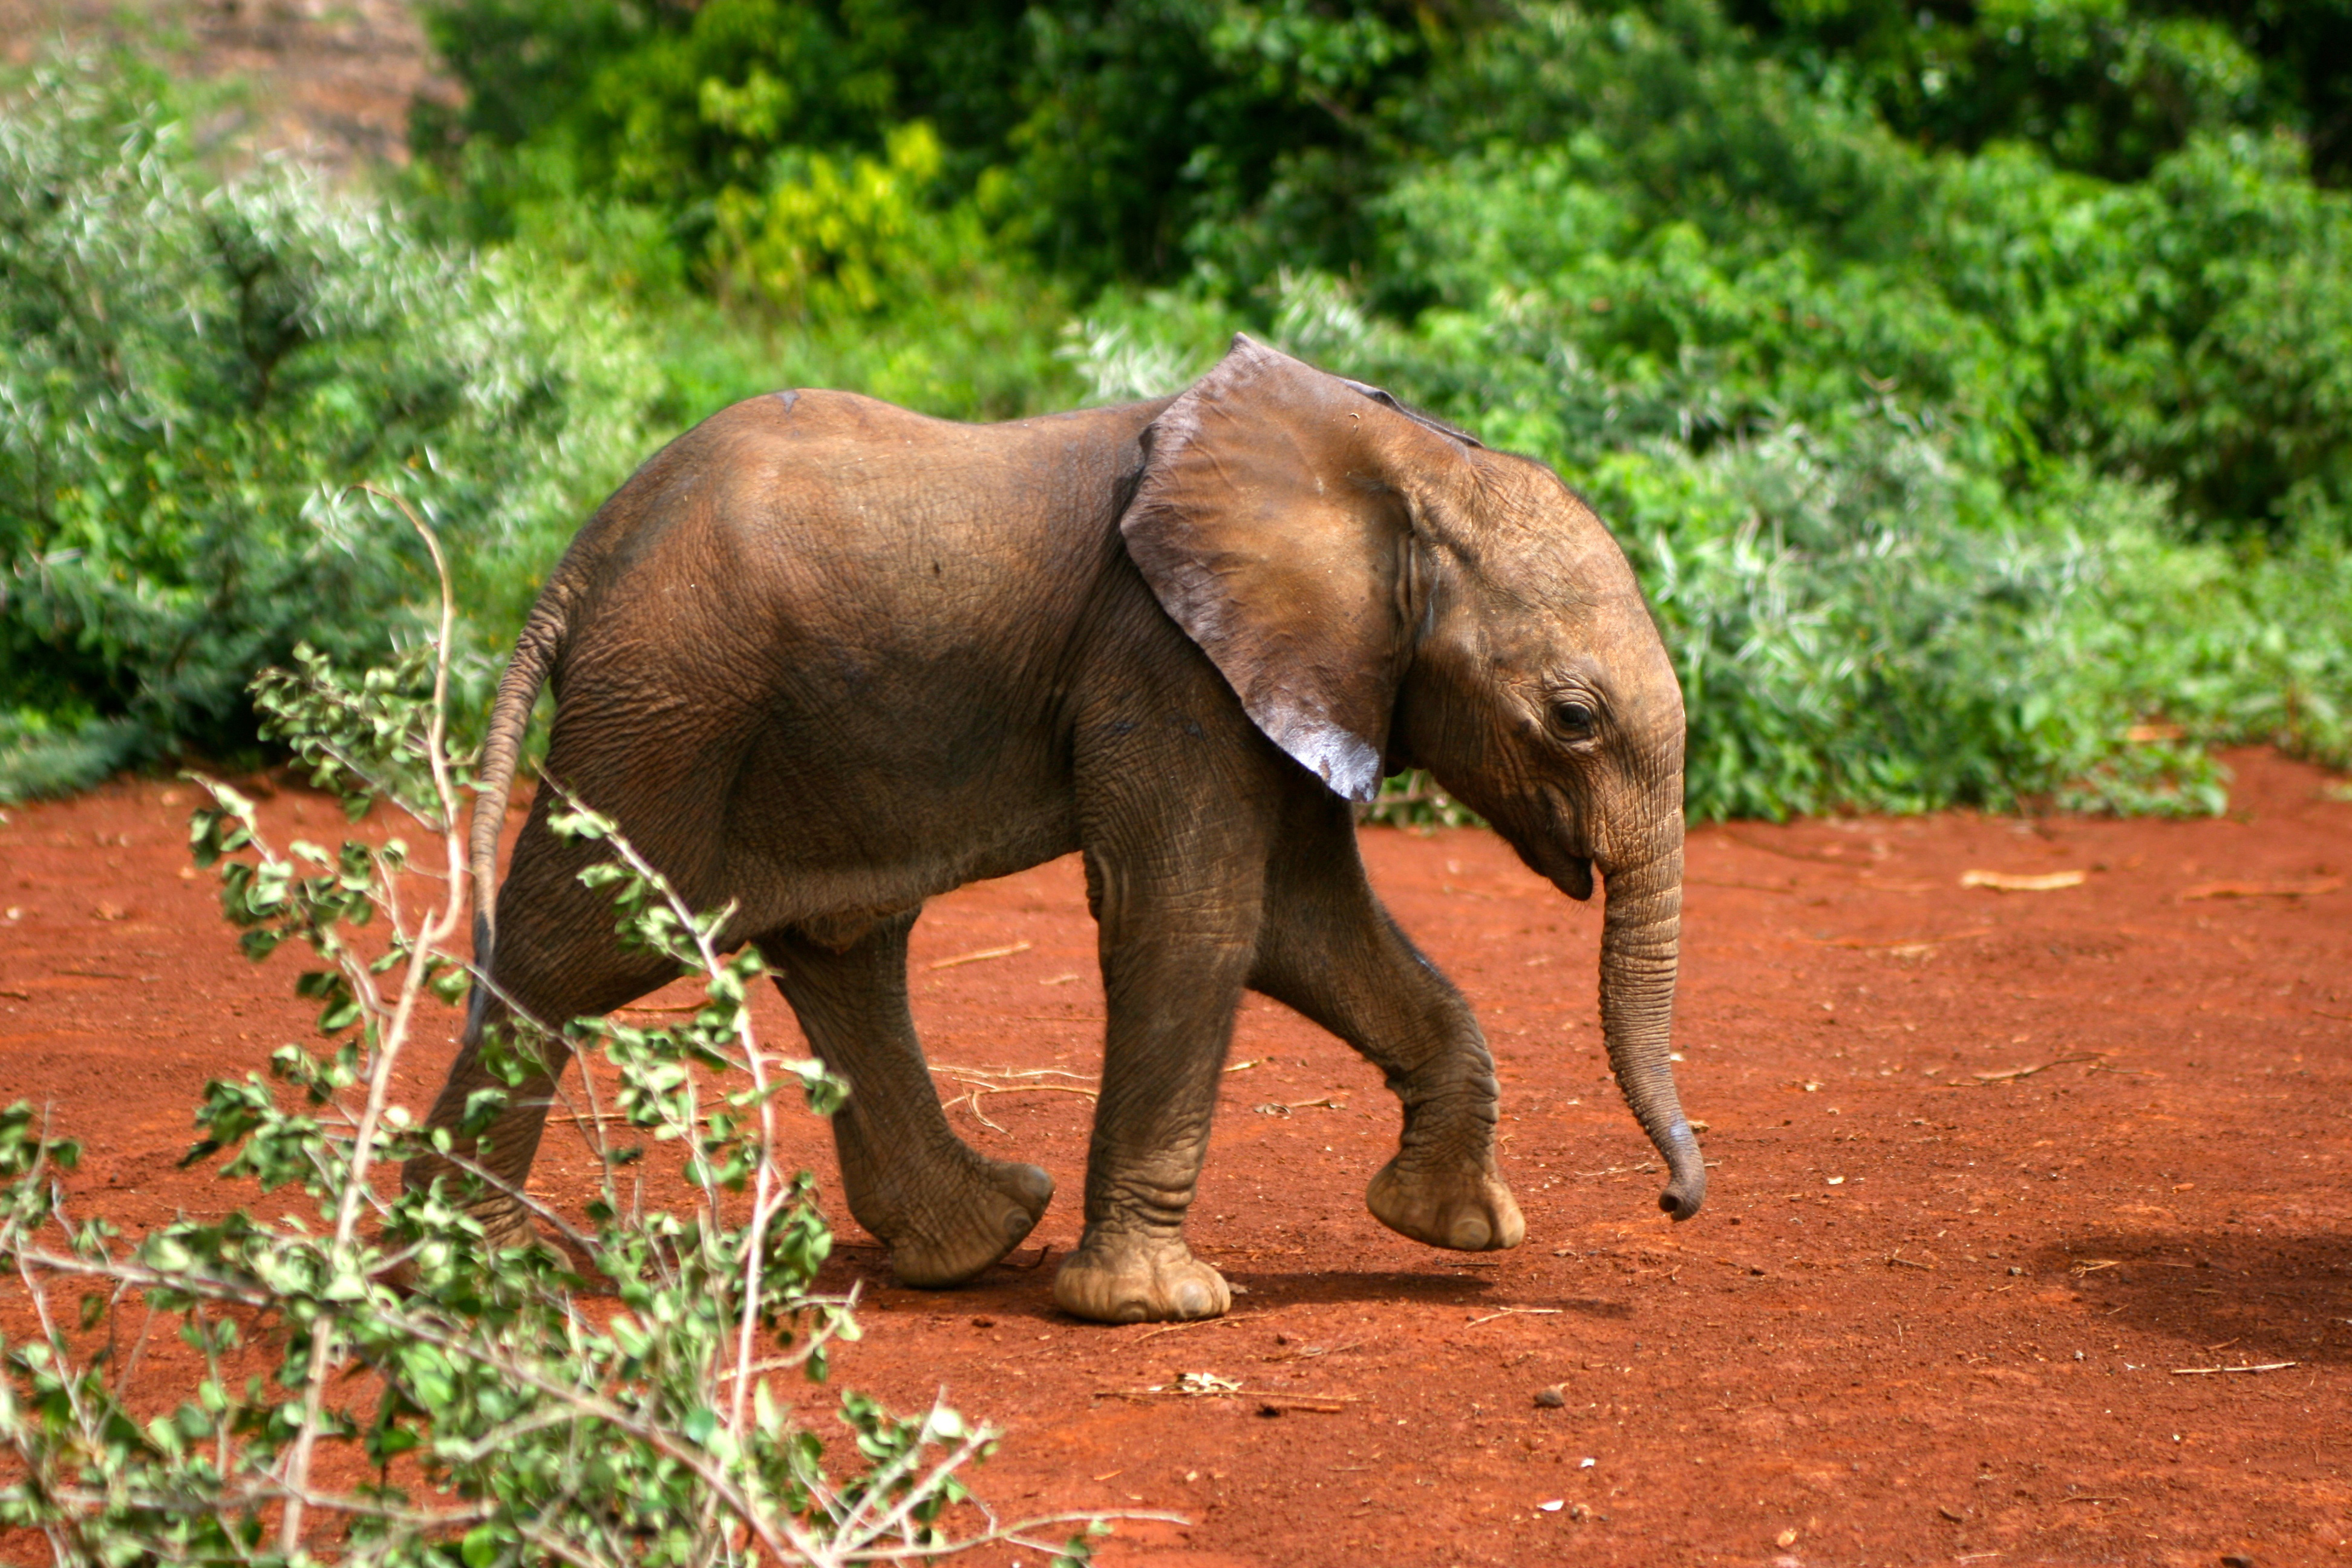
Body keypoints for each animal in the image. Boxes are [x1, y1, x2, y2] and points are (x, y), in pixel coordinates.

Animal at [409, 333, 1712, 1325]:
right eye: (1574, 719)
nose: (1675, 1202)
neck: (1401, 466)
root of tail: (584, 552)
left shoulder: (1293, 666)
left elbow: (1306, 925)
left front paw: (1454, 1229)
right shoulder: (1164, 656)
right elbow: (1193, 917)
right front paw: (1156, 1309)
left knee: (841, 947)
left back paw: (977, 1239)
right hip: (671, 701)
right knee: (577, 945)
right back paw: (451, 1271)